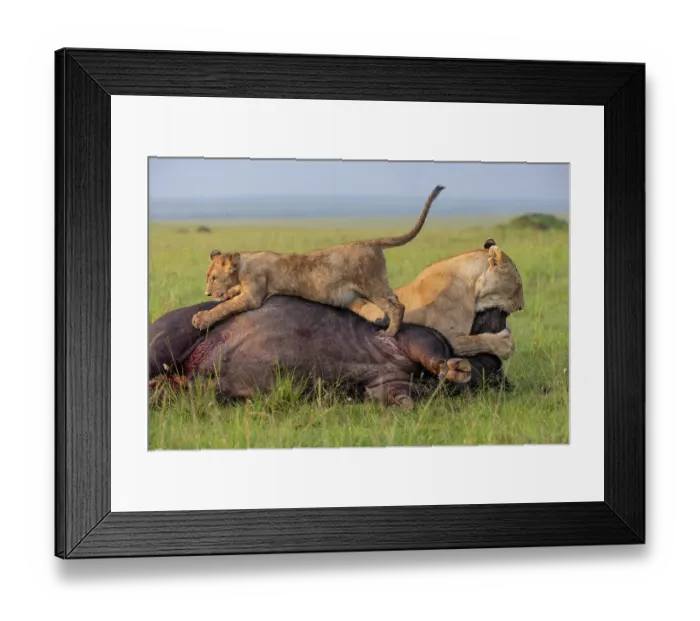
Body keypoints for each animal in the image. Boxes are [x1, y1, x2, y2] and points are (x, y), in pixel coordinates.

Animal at [191, 185, 445, 336]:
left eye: (213, 278)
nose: (206, 293)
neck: (243, 264)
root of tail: (370, 242)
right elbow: (231, 296)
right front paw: (224, 296)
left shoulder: (254, 296)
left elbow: (225, 307)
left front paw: (202, 318)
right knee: (394, 300)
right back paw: (384, 323)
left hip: (371, 284)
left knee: (397, 305)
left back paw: (389, 333)